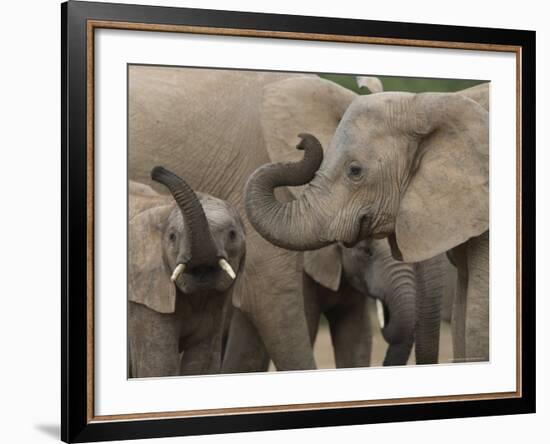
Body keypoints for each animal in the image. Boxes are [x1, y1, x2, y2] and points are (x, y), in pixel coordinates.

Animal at [129, 167, 246, 378]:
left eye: (232, 234)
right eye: (172, 237)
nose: (157, 171)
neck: (165, 207)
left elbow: (203, 364)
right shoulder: (144, 300)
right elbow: (159, 367)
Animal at [248, 91, 490, 364]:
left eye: (355, 171)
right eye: (365, 252)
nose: (302, 141)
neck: (427, 102)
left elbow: (476, 319)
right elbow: (463, 318)